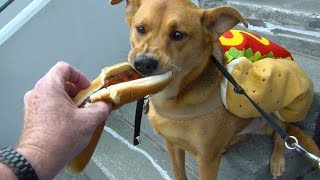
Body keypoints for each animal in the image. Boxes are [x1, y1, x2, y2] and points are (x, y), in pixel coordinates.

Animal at [110, 0, 320, 179]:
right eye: (140, 29)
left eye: (178, 34)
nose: (143, 64)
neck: (175, 98)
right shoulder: (172, 145)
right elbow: (178, 173)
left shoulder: (207, 161)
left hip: (274, 105)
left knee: (282, 134)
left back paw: (277, 161)